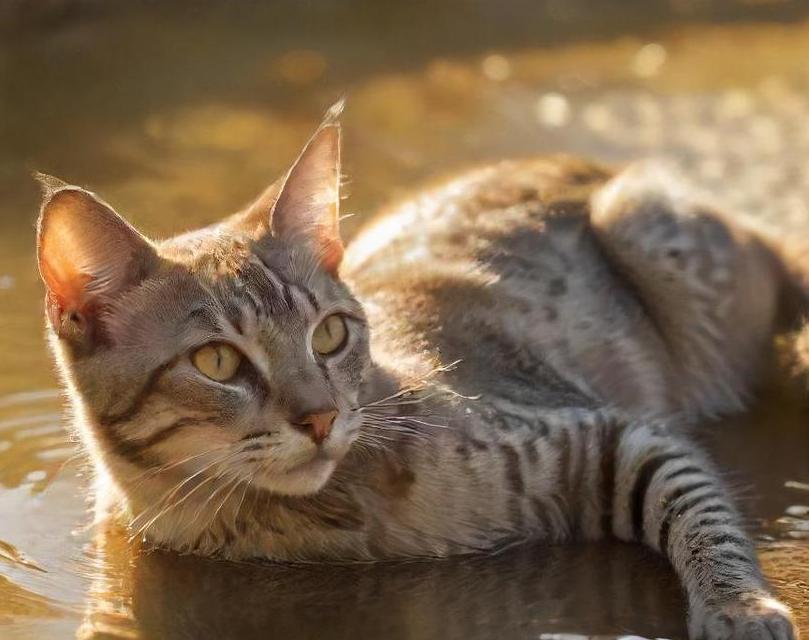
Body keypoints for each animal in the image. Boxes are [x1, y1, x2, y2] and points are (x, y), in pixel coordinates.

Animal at [36, 106, 796, 640]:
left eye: (330, 334)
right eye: (216, 361)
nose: (321, 417)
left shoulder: (617, 431)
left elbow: (701, 513)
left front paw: (739, 604)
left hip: (649, 229)